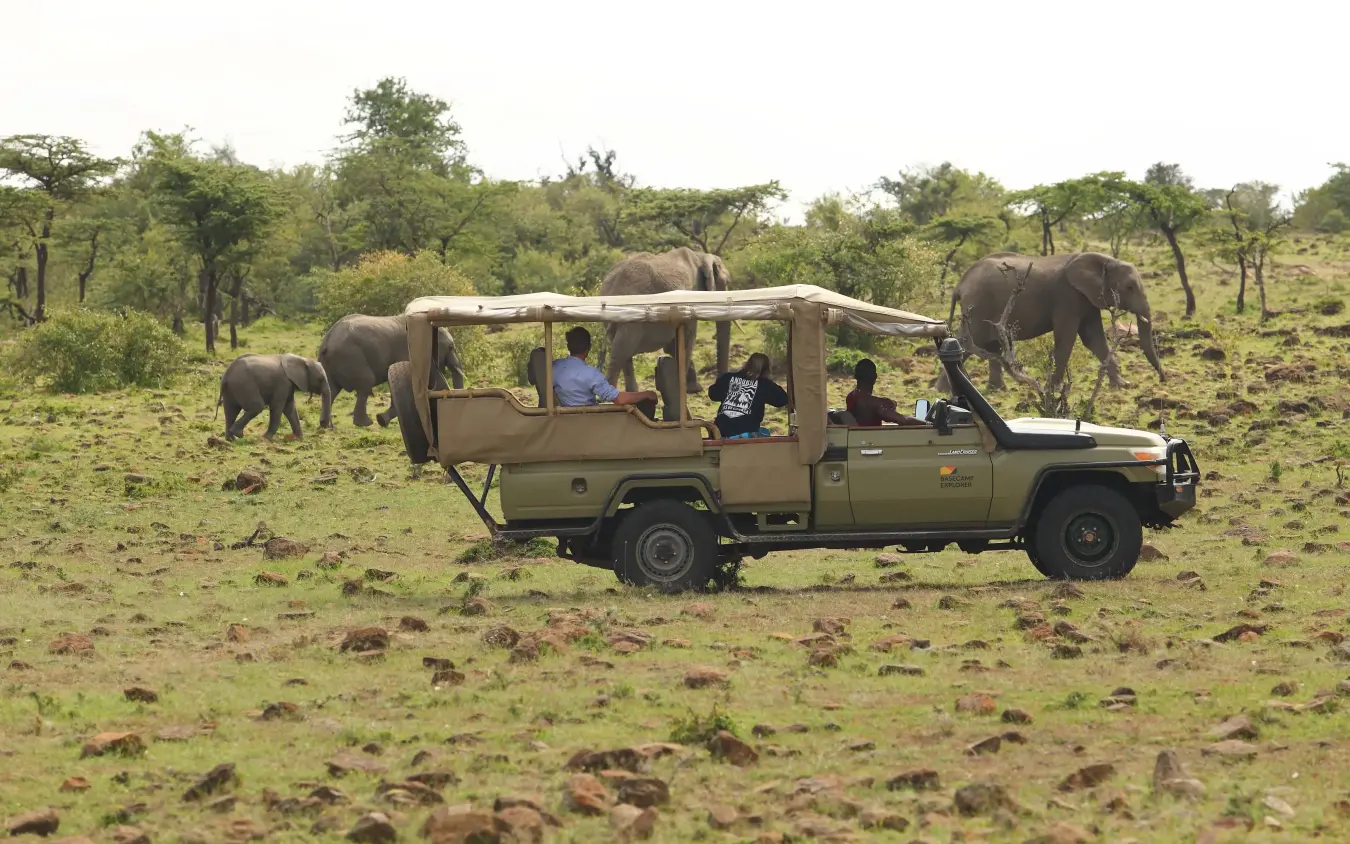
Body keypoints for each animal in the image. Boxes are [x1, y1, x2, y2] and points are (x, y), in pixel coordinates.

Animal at [317, 314, 465, 427]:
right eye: (451, 347)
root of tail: (326, 342)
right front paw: (382, 420)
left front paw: (382, 420)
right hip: (351, 357)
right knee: (365, 384)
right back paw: (365, 423)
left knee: (331, 390)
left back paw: (327, 426)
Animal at [596, 247, 731, 393]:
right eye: (727, 282)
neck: (701, 256)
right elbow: (686, 341)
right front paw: (689, 389)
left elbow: (674, 346)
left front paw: (693, 388)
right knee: (621, 353)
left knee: (624, 355)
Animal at [941, 251, 1165, 392]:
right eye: (1129, 287)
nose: (1163, 379)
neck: (1105, 260)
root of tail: (960, 283)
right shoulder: (1067, 296)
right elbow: (1067, 338)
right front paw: (1053, 389)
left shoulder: (1086, 298)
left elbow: (1094, 339)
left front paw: (1122, 386)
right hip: (978, 306)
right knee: (968, 343)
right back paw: (943, 391)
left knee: (989, 346)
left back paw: (997, 390)